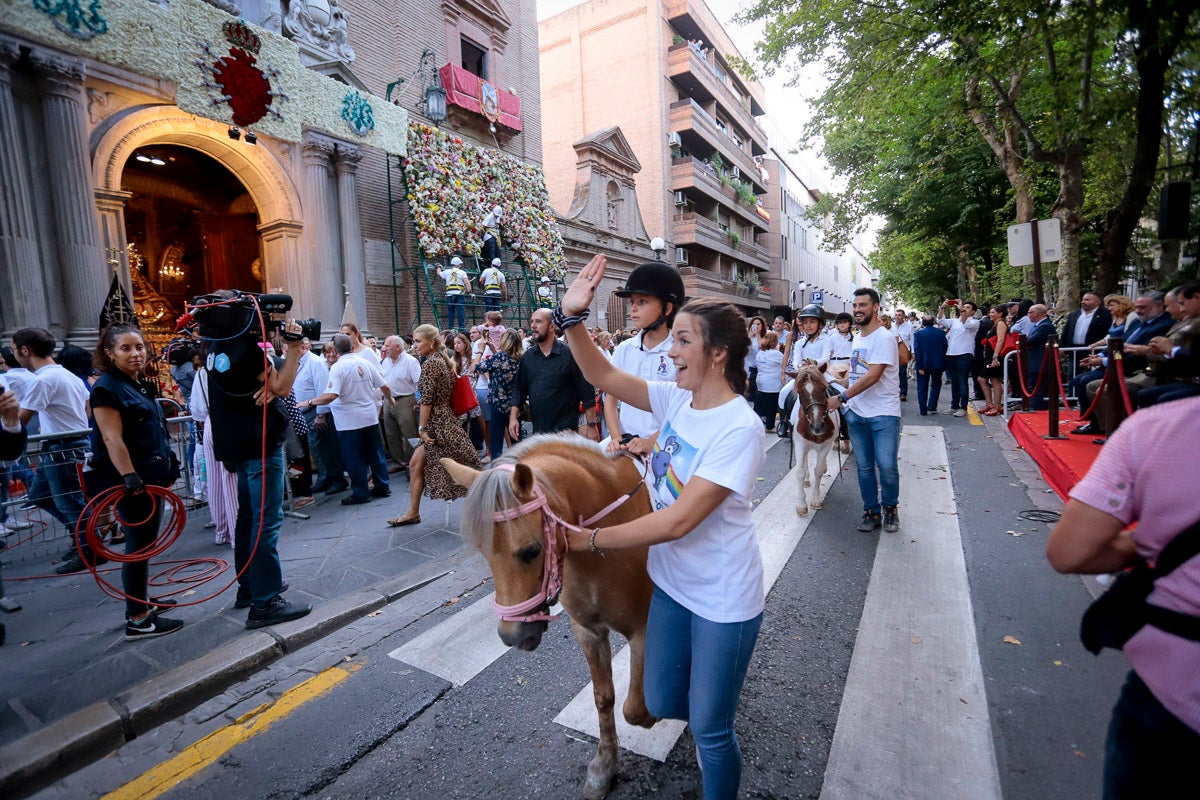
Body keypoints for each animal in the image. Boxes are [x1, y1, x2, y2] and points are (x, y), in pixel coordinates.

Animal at [441, 434, 652, 800]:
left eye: (531, 551)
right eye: (483, 553)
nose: (512, 636)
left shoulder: (641, 629)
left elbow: (635, 708)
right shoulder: (588, 631)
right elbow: (604, 698)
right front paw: (604, 765)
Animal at [782, 364, 840, 515]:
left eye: (824, 389)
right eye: (800, 393)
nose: (817, 426)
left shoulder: (825, 446)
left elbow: (818, 471)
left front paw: (815, 500)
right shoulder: (800, 445)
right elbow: (800, 472)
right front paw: (802, 505)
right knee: (806, 460)